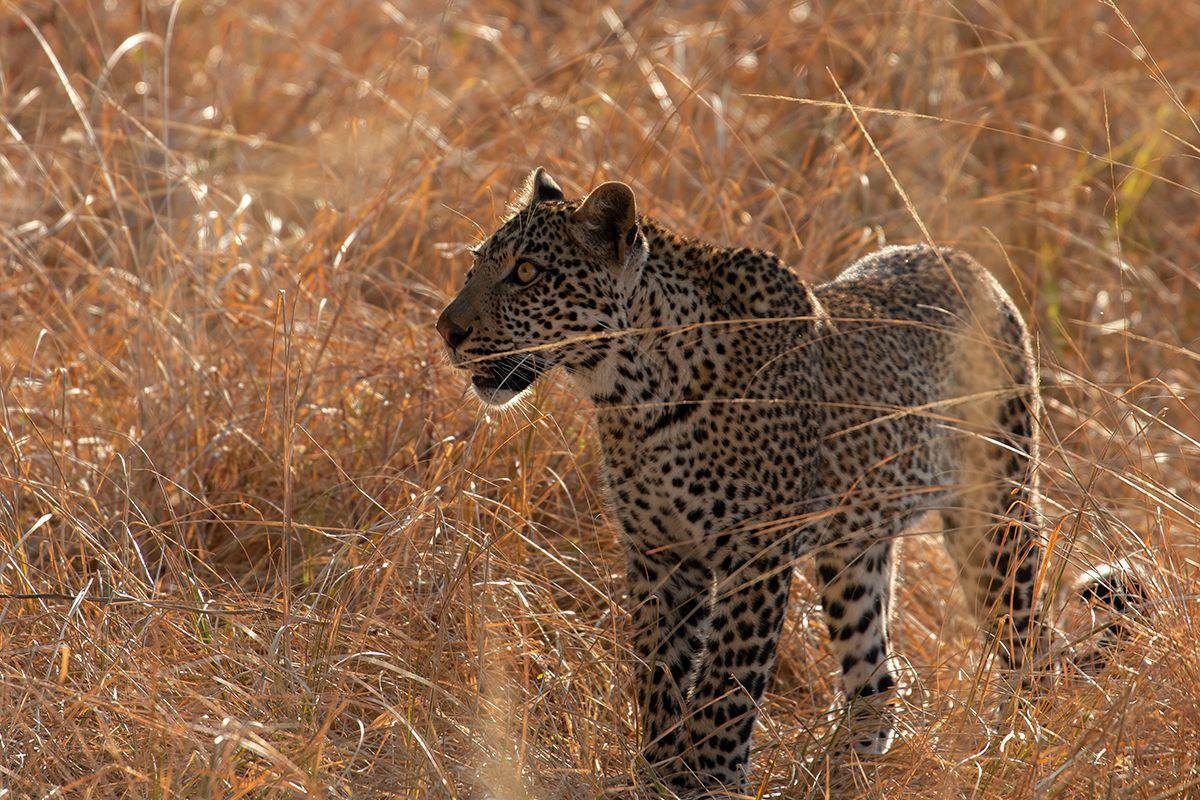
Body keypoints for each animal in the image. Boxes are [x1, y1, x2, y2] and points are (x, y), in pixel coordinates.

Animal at [435, 168, 1144, 796]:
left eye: (527, 274)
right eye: (476, 265)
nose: (448, 330)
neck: (632, 393)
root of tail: (973, 267)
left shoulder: (756, 554)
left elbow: (724, 689)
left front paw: (709, 784)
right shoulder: (659, 556)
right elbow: (657, 678)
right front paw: (656, 777)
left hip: (993, 512)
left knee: (1028, 647)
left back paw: (1016, 746)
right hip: (853, 552)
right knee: (876, 679)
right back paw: (841, 773)